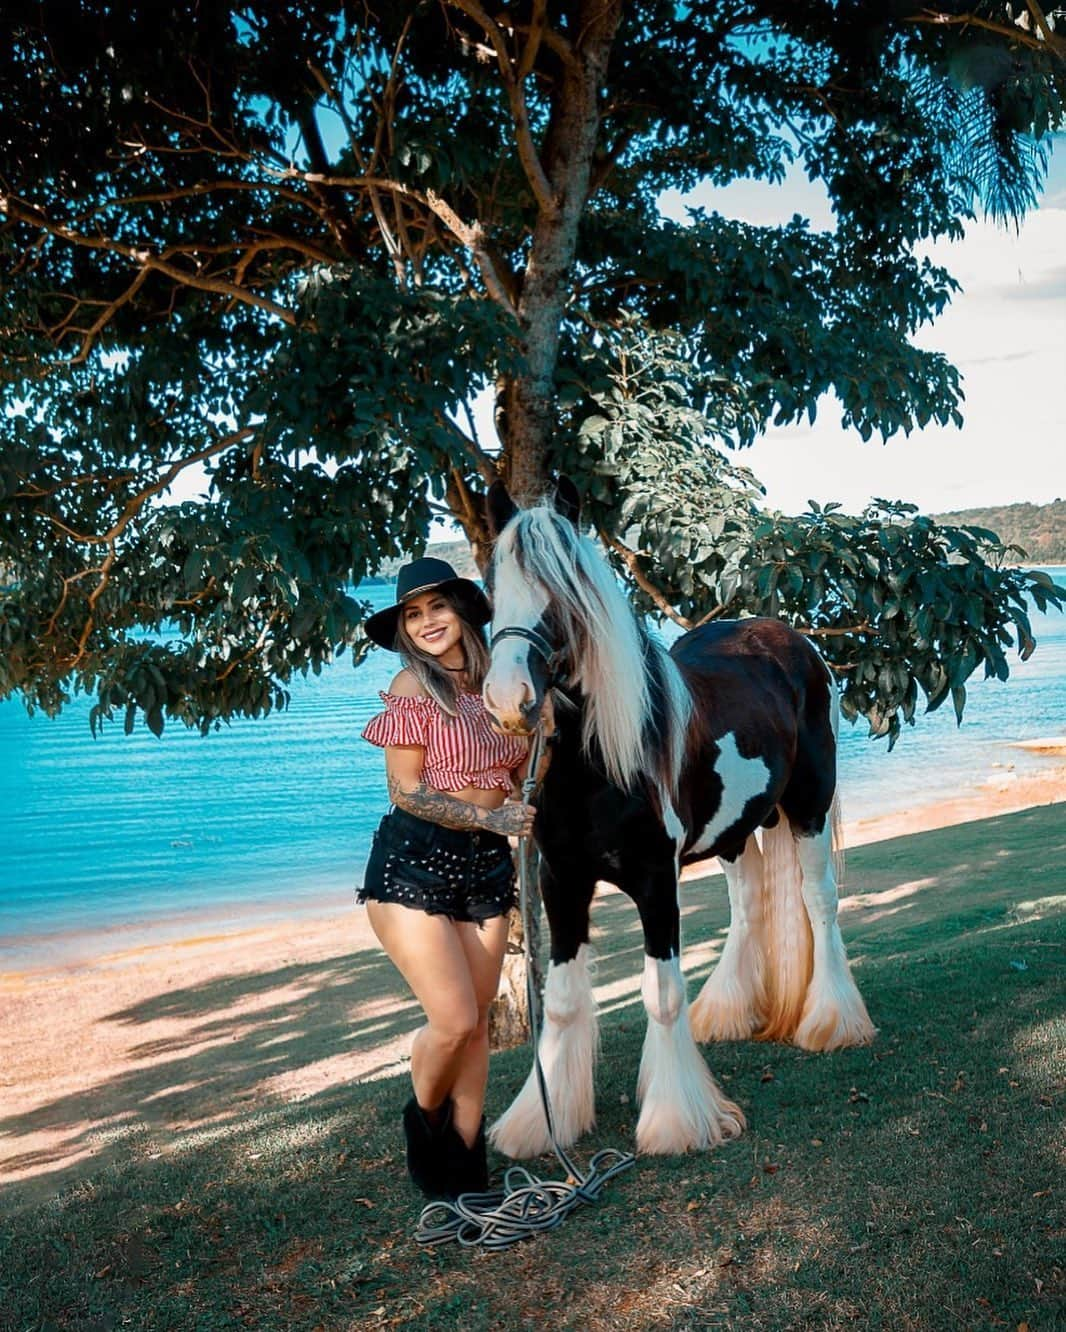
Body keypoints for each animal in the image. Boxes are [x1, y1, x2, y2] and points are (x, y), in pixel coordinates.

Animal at [482, 479, 874, 1156]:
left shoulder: (654, 881)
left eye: (563, 590)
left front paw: (676, 1121)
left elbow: (662, 995)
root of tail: (787, 638)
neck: (601, 762)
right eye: (490, 585)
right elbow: (559, 1002)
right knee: (748, 904)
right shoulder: (562, 881)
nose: (509, 701)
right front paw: (541, 1122)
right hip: (735, 832)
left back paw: (832, 1021)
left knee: (818, 901)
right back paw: (729, 1013)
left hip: (808, 808)